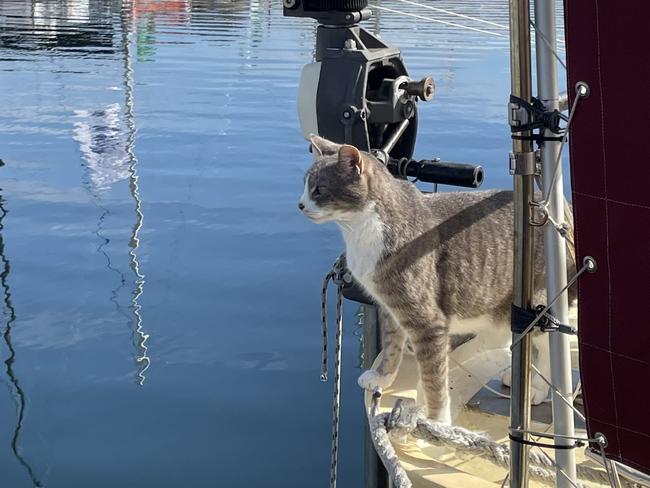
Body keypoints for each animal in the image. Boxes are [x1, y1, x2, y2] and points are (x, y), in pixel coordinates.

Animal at [296, 134, 576, 424]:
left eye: (319, 189)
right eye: (305, 185)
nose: (301, 204)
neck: (363, 228)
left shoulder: (427, 322)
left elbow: (433, 379)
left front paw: (437, 421)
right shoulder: (390, 307)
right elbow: (392, 346)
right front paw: (382, 376)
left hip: (539, 303)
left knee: (550, 345)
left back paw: (538, 388)